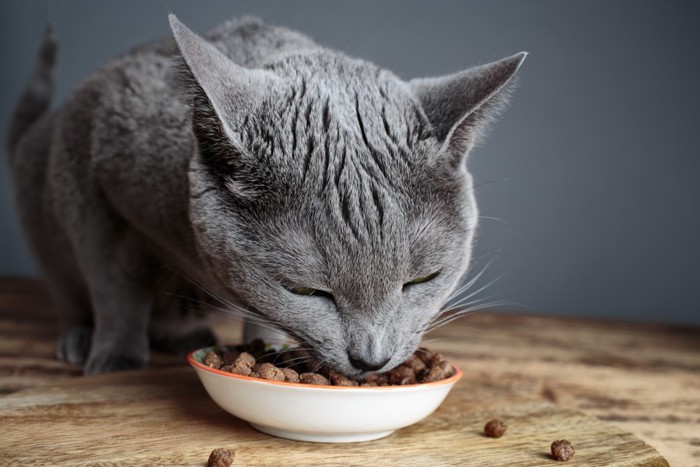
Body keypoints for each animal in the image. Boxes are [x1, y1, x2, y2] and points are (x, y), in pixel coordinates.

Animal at [6, 15, 524, 376]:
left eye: (422, 279)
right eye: (305, 290)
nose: (371, 360)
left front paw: (270, 348)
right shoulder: (96, 181)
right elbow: (115, 290)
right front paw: (116, 360)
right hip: (45, 209)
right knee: (71, 290)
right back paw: (80, 341)